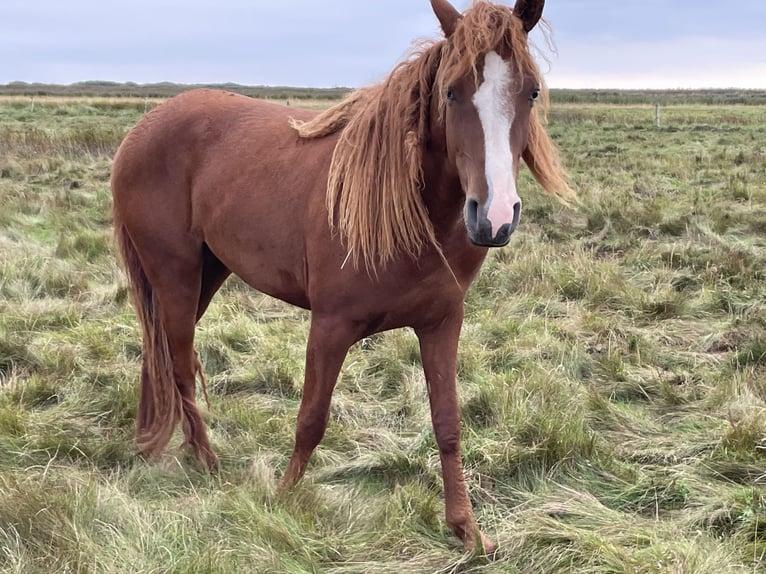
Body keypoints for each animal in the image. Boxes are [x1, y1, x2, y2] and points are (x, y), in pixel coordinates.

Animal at [111, 0, 573, 555]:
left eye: (531, 91)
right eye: (451, 91)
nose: (495, 217)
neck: (407, 211)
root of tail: (142, 130)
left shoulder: (442, 324)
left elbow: (448, 423)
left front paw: (466, 530)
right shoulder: (330, 326)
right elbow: (311, 418)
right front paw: (283, 499)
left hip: (206, 272)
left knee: (156, 352)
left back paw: (147, 447)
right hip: (175, 274)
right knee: (178, 365)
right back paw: (207, 463)